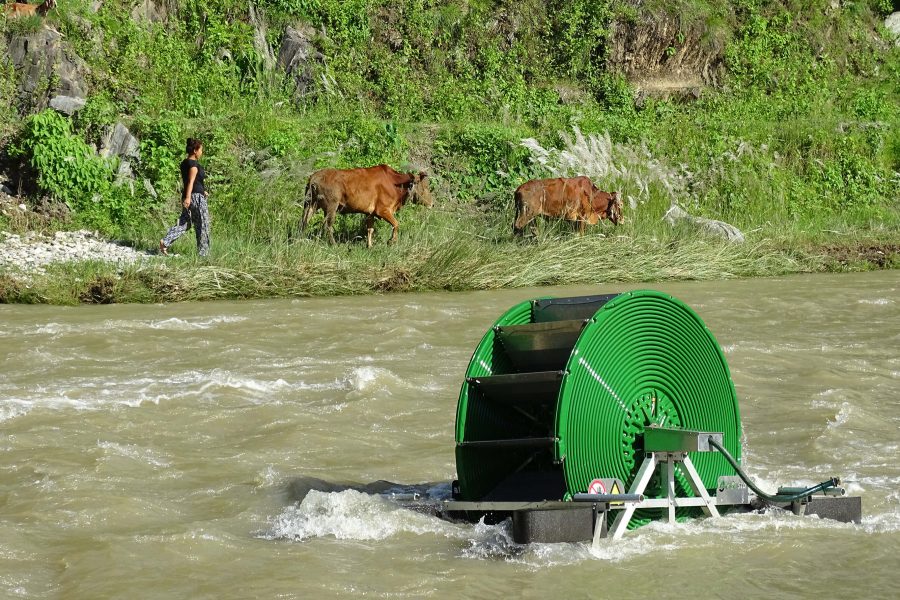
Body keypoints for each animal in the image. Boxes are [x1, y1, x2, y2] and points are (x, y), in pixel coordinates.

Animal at [300, 164, 433, 247]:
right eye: (425, 188)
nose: (432, 204)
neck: (396, 184)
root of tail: (314, 177)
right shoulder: (383, 210)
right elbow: (396, 224)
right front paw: (391, 241)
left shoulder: (370, 213)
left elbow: (370, 229)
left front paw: (369, 246)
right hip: (331, 207)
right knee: (328, 226)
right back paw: (333, 244)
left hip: (310, 204)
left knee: (304, 222)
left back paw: (300, 238)